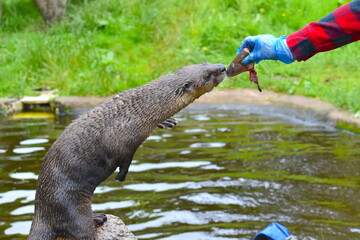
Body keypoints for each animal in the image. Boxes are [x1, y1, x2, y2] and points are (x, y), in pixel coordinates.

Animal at [28, 62, 225, 239]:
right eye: (207, 75)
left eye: (206, 62)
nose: (222, 67)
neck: (139, 110)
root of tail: (40, 214)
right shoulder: (123, 143)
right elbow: (124, 160)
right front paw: (120, 177)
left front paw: (167, 121)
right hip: (70, 208)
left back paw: (98, 217)